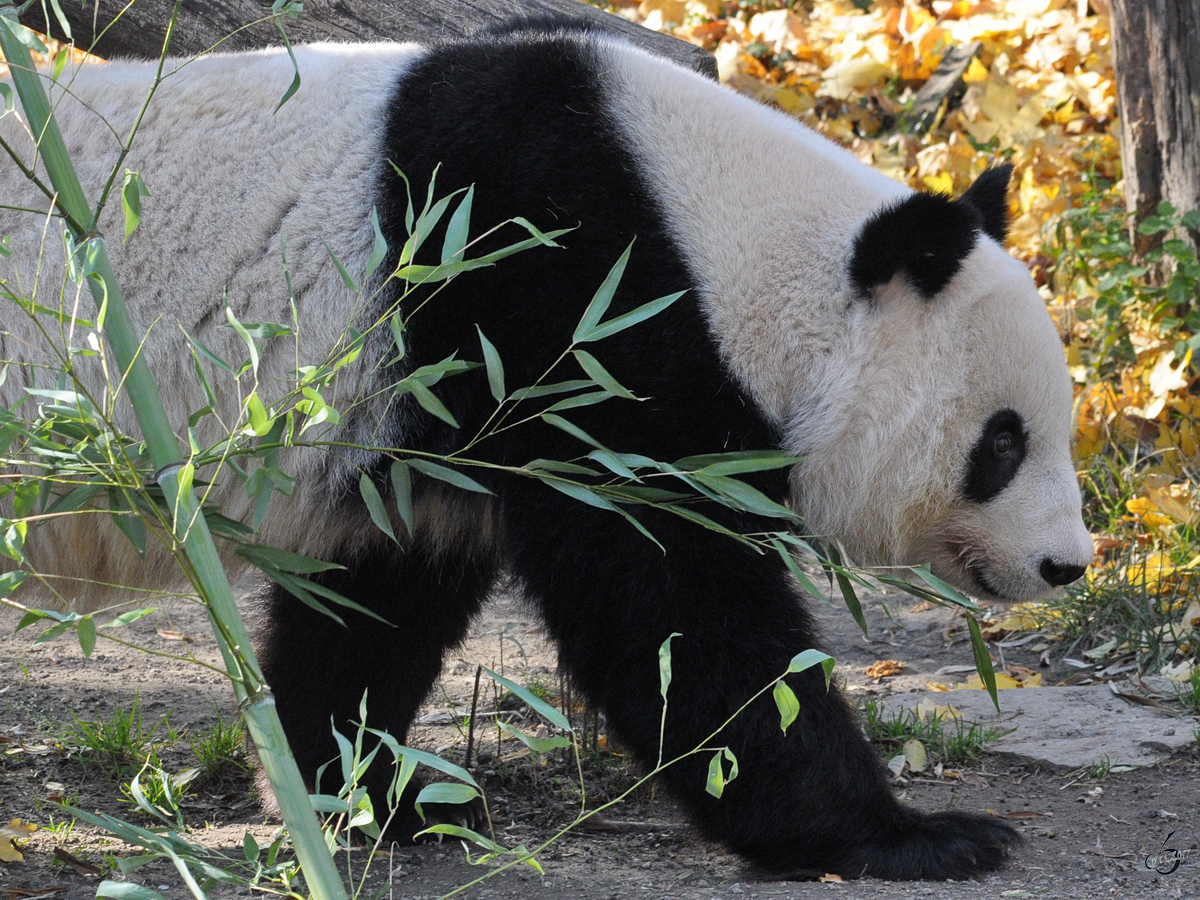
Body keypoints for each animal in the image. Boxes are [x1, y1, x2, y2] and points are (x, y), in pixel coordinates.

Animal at [0, 19, 1094, 883]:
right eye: (1002, 442)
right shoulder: (562, 300)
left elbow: (377, 605)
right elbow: (674, 610)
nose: (1066, 565)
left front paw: (373, 797)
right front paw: (915, 835)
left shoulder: (426, 428)